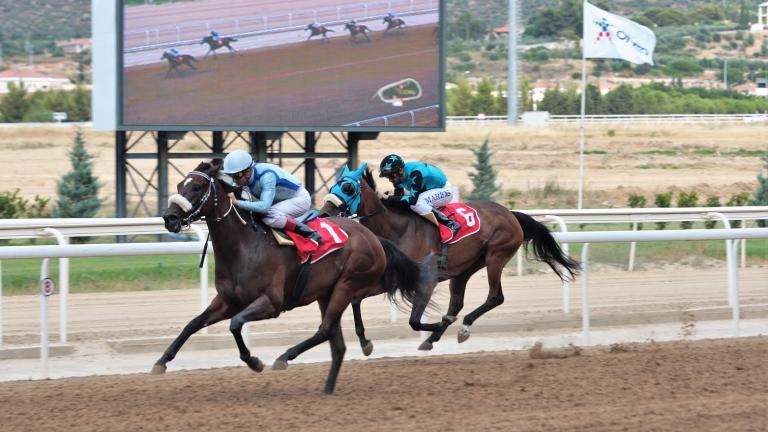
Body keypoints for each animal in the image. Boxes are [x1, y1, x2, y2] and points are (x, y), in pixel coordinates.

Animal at [156, 160, 436, 394]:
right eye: (180, 185)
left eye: (197, 186)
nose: (169, 218)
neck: (245, 246)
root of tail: (373, 237)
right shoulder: (228, 301)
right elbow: (192, 324)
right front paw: (161, 361)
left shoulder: (271, 303)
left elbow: (235, 324)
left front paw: (254, 361)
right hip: (327, 293)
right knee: (336, 343)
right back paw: (327, 388)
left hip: (347, 285)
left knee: (325, 330)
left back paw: (284, 357)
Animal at [320, 165, 580, 352]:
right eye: (333, 185)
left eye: (348, 188)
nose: (324, 213)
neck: (397, 228)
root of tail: (510, 214)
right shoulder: (393, 275)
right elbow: (356, 300)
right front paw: (365, 342)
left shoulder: (425, 280)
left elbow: (414, 321)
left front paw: (434, 325)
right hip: (465, 269)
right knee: (457, 303)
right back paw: (434, 337)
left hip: (496, 256)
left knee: (495, 297)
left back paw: (461, 327)